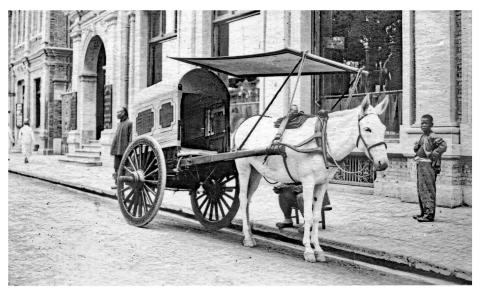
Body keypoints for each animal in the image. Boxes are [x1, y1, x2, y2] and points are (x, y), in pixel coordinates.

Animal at [233, 96, 390, 262]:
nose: (383, 163)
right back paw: (247, 238)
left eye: (384, 129)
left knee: (248, 200)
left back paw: (249, 233)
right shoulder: (308, 182)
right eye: (367, 129)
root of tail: (244, 122)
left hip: (255, 172)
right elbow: (308, 215)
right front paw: (308, 250)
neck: (322, 141)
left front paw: (318, 250)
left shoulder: (322, 184)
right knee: (242, 198)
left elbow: (315, 216)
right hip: (243, 167)